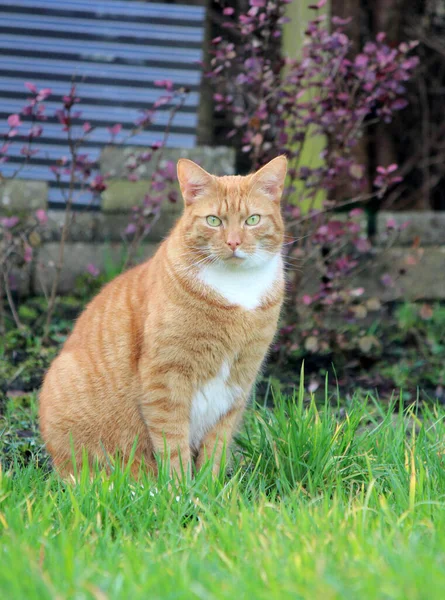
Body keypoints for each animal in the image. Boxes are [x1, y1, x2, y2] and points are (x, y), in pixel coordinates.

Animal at [39, 155, 288, 478]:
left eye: (253, 220)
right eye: (214, 221)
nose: (234, 243)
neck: (236, 289)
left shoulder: (240, 380)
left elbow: (217, 448)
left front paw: (210, 486)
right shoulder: (166, 378)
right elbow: (173, 445)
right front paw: (180, 487)